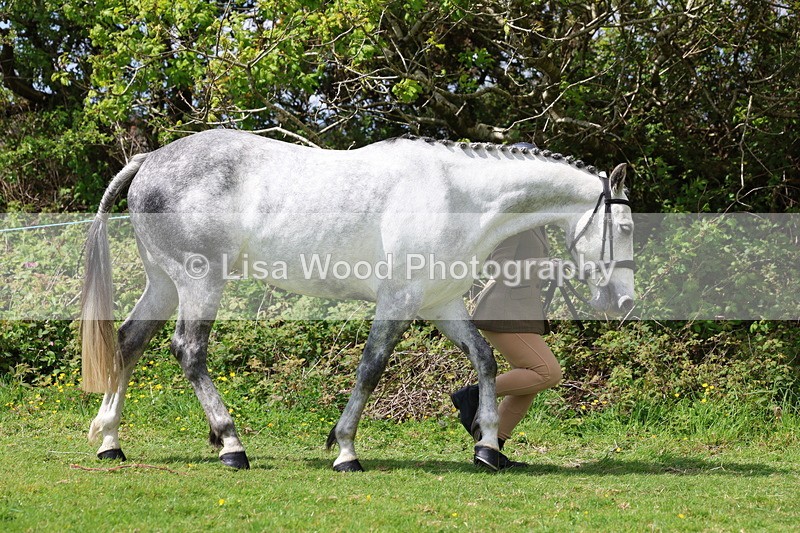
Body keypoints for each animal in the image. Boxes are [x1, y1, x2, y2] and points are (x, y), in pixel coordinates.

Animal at [80, 129, 634, 472]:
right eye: (625, 226)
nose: (624, 304)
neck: (456, 196)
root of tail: (150, 161)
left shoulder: (442, 306)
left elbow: (485, 360)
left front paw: (488, 446)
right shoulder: (397, 303)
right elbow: (371, 369)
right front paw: (345, 449)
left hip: (164, 283)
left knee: (128, 342)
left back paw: (110, 440)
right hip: (200, 282)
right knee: (189, 352)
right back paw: (231, 445)